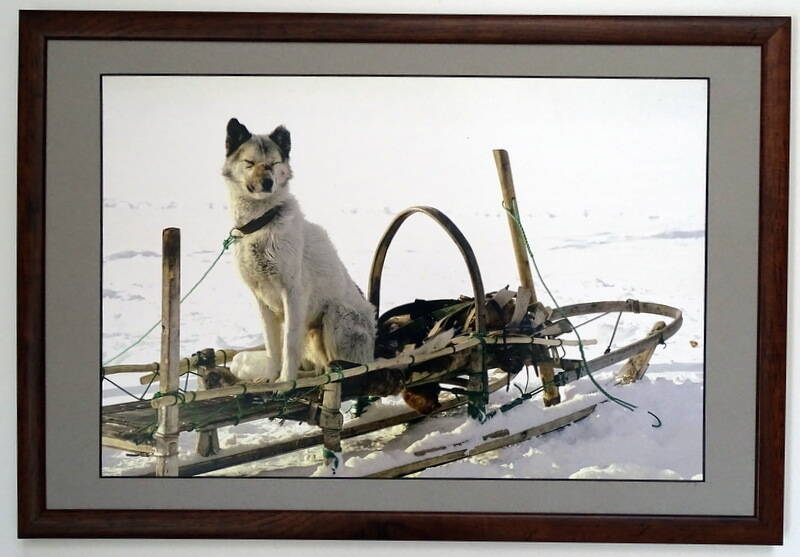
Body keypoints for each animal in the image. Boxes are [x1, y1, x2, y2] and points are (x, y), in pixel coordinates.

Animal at [222, 118, 376, 384]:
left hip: (336, 315)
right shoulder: (261, 299)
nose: (268, 182)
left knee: (347, 364)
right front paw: (270, 378)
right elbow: (273, 347)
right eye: (249, 162)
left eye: (273, 163)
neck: (262, 224)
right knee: (319, 366)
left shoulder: (293, 293)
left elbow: (288, 346)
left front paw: (285, 381)